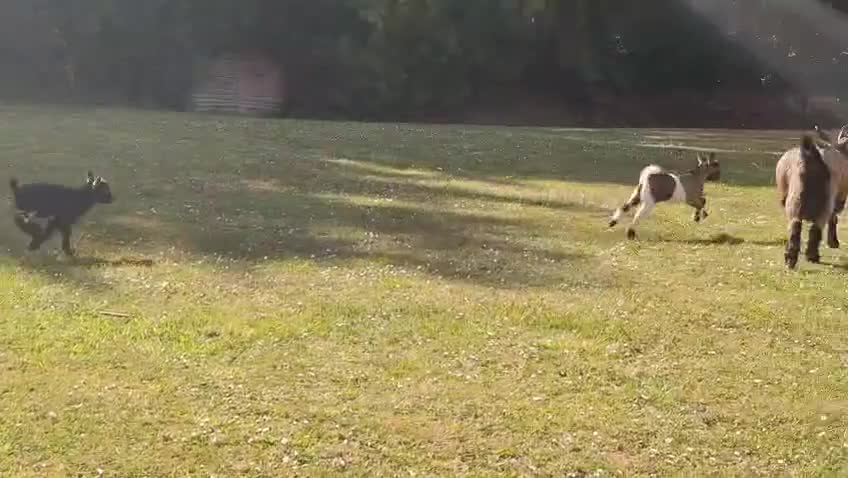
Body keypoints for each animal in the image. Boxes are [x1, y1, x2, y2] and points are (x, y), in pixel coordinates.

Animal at [775, 135, 838, 268]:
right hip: (821, 207)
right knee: (814, 229)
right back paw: (808, 256)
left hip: (796, 204)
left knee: (797, 226)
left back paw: (793, 258)